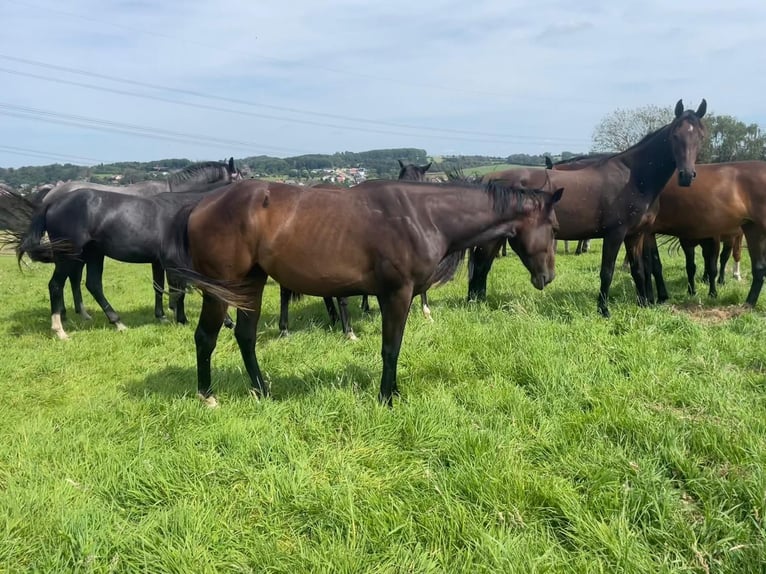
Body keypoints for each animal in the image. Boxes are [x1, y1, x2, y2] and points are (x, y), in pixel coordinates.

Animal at [165, 178, 564, 408]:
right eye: (555, 227)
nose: (547, 277)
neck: (424, 216)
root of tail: (200, 204)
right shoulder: (396, 294)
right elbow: (391, 348)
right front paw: (388, 397)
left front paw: (393, 391)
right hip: (221, 290)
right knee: (205, 337)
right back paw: (207, 395)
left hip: (251, 284)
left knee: (246, 337)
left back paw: (263, 390)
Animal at [468, 97, 708, 318]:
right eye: (675, 136)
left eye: (700, 137)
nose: (687, 176)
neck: (634, 178)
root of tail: (486, 178)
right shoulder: (615, 233)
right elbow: (607, 272)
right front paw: (604, 310)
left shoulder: (636, 234)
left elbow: (639, 270)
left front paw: (644, 304)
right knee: (480, 266)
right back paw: (474, 305)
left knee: (482, 267)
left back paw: (479, 302)